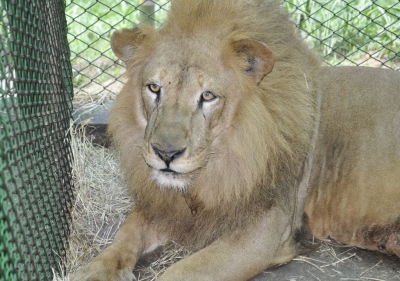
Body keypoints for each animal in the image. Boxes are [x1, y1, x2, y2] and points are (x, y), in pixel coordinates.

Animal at [72, 0, 400, 280]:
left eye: (207, 96)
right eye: (154, 88)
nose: (166, 153)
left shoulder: (267, 229)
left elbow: (184, 271)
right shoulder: (163, 205)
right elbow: (125, 235)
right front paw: (93, 270)